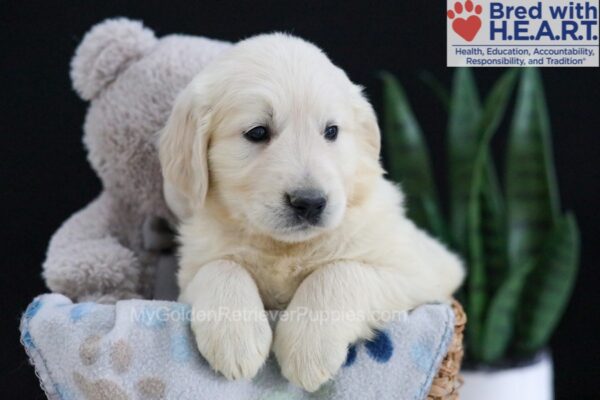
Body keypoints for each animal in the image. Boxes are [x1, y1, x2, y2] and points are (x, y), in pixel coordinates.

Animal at [159, 32, 464, 392]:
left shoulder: (421, 272)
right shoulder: (189, 274)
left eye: (331, 131)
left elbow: (339, 271)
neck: (284, 248)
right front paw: (236, 339)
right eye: (257, 132)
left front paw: (307, 348)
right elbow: (220, 267)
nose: (310, 202)